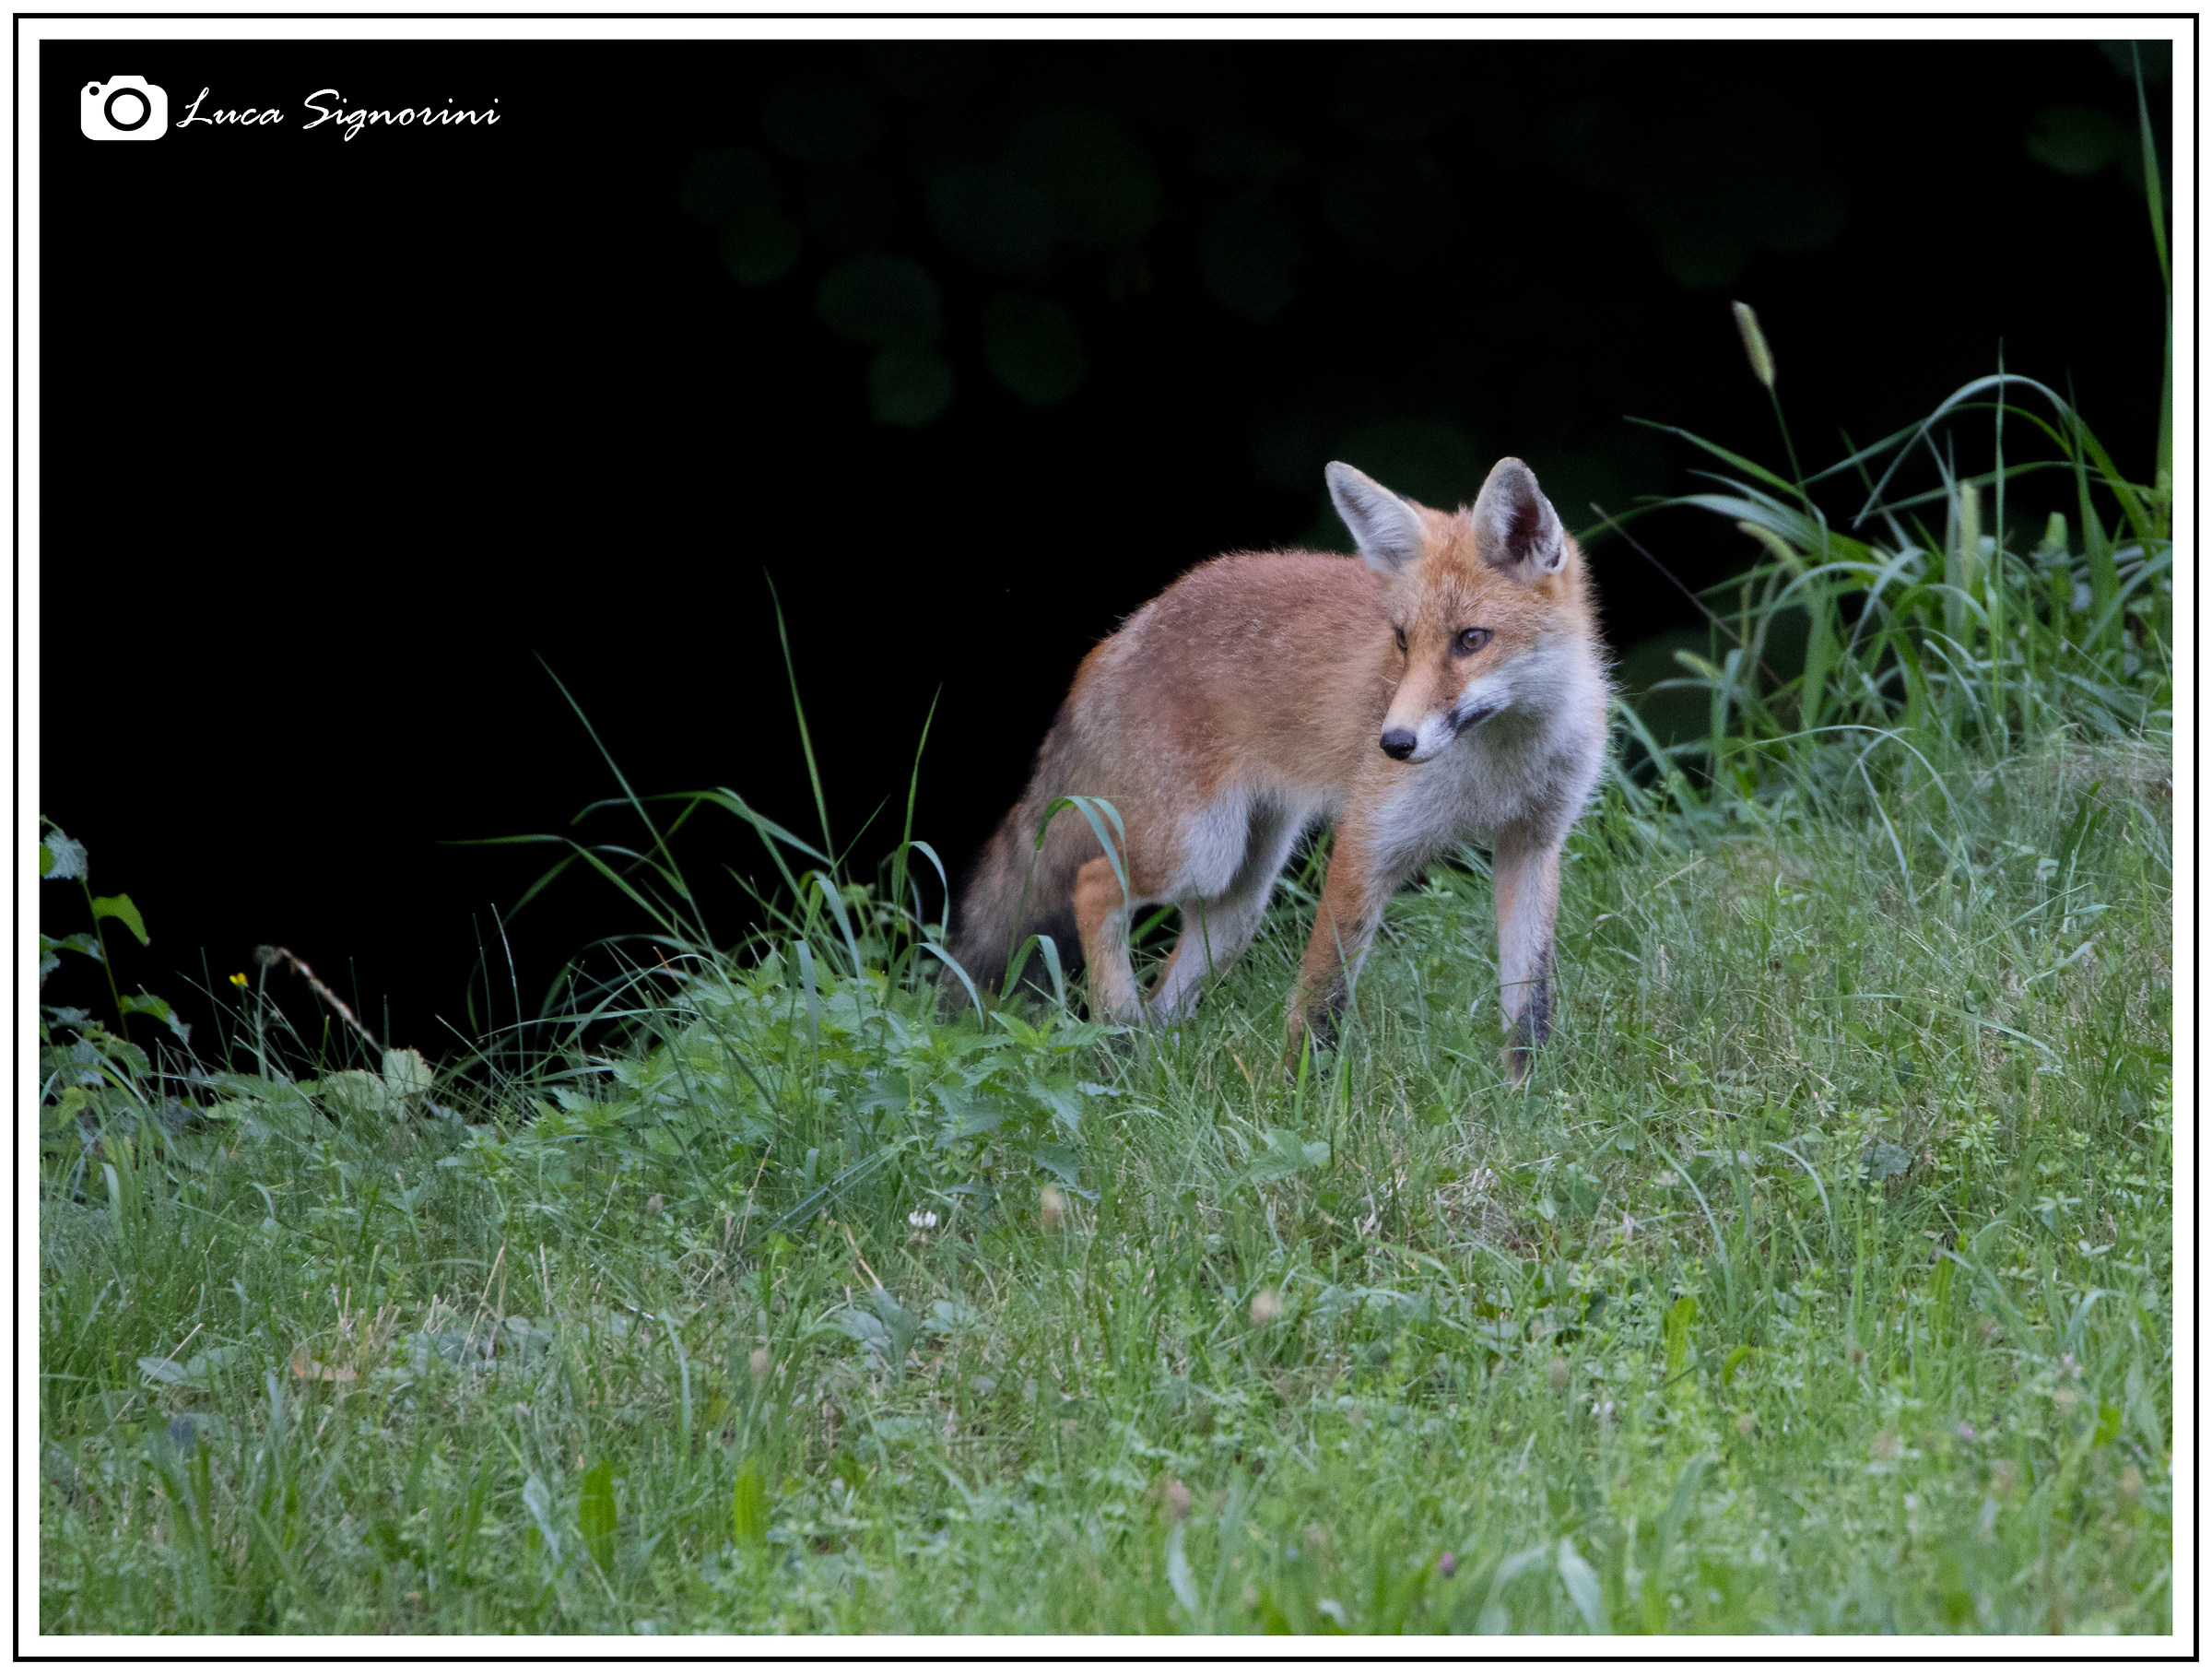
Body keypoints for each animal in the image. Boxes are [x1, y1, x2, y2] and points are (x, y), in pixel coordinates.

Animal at [948, 455, 1609, 1080]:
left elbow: (1531, 1004)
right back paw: (1117, 1032)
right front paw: (1299, 1097)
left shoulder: (1533, 844)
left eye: (1472, 640)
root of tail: (1123, 631)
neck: (1500, 763)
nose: (1392, 743)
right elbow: (1320, 1001)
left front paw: (1525, 1096)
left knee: (1170, 986)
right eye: (1401, 641)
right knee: (1091, 885)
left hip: (1240, 896)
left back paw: (1143, 1069)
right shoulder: (1367, 844)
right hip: (1198, 850)